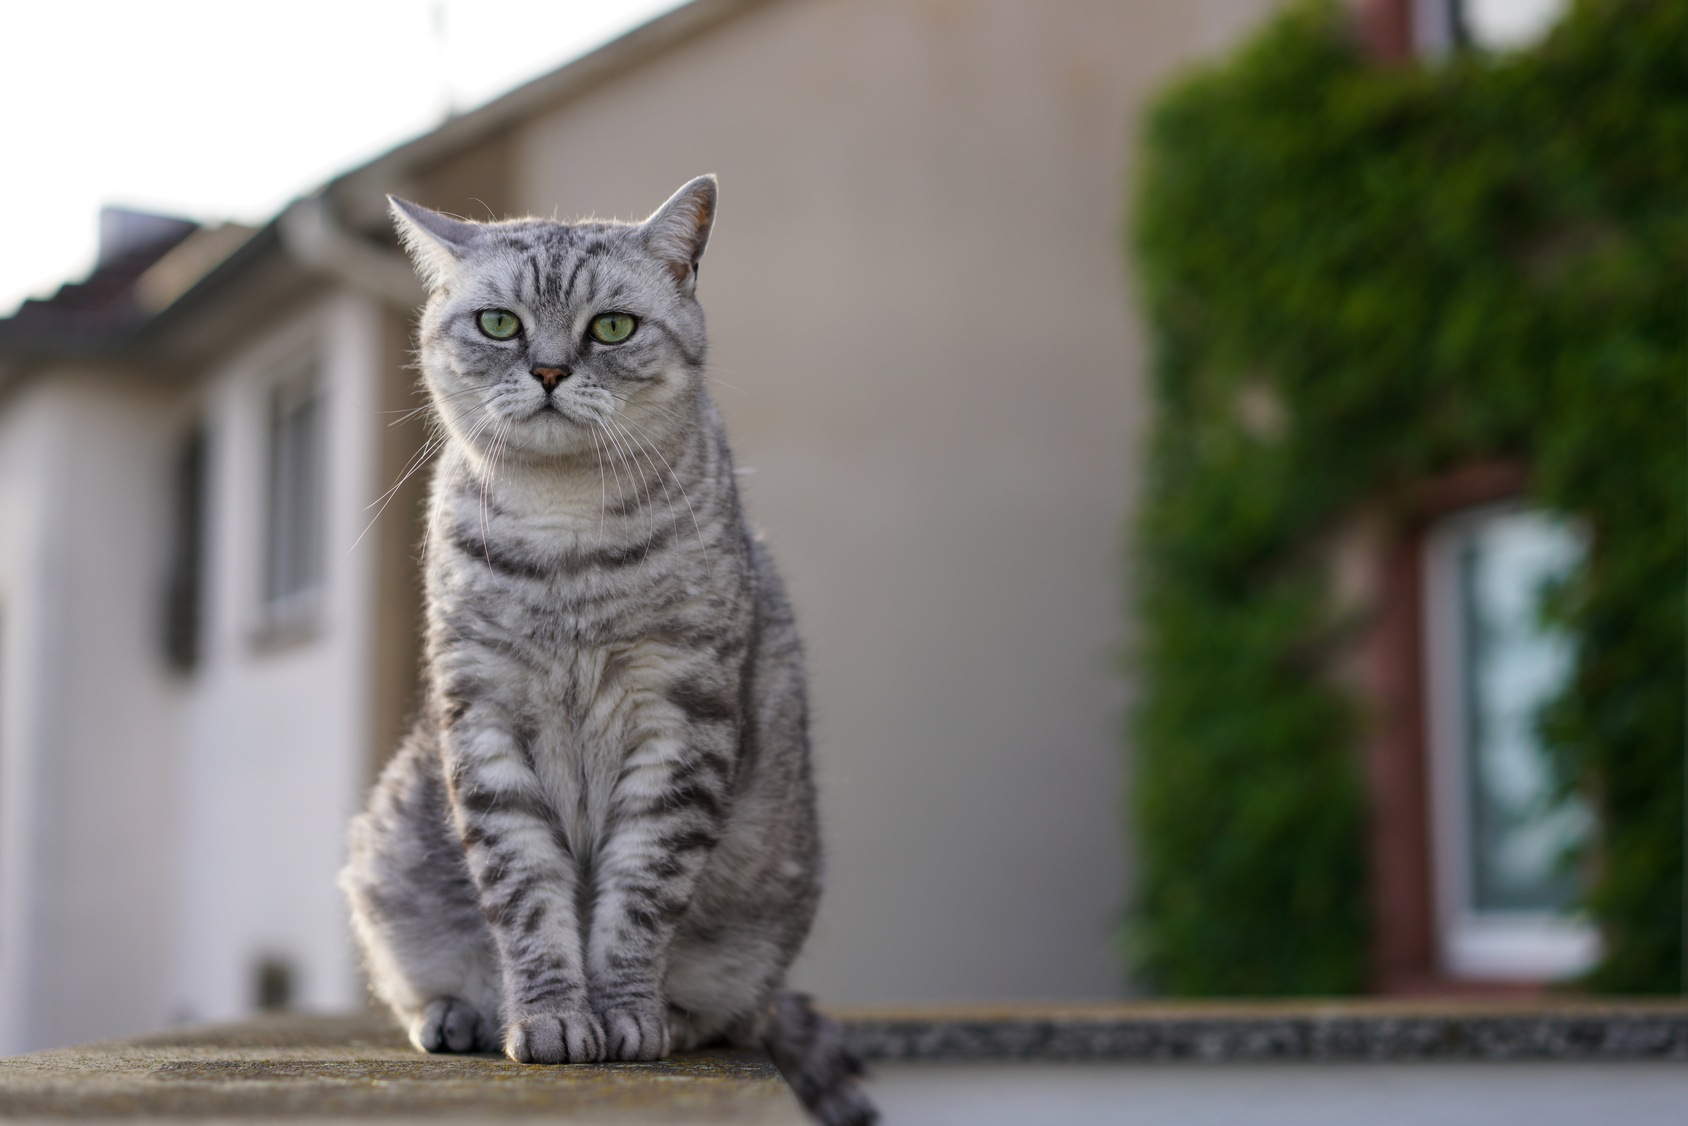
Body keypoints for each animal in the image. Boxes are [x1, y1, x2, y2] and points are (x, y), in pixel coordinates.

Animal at [337, 178, 877, 1126]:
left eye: (612, 328)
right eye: (501, 324)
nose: (551, 370)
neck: (566, 532)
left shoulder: (680, 719)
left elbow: (635, 898)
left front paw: (624, 1017)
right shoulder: (483, 720)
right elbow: (527, 897)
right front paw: (549, 1018)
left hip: (758, 940)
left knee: (735, 1012)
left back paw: (680, 1018)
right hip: (390, 858)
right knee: (425, 978)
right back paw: (460, 1014)